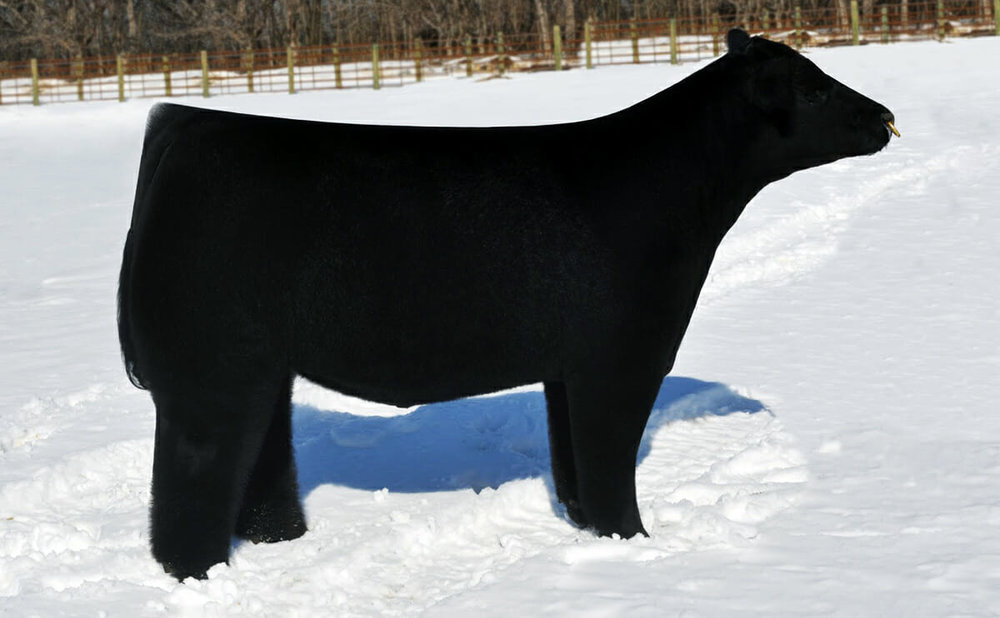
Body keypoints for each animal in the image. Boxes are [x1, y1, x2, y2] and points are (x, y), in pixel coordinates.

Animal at [118, 29, 897, 580]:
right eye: (813, 90)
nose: (887, 115)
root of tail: (182, 125)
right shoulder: (622, 354)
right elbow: (609, 462)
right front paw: (634, 543)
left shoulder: (566, 367)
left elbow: (575, 465)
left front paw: (589, 530)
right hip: (211, 371)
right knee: (190, 493)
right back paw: (203, 576)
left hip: (260, 368)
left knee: (262, 465)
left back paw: (283, 546)